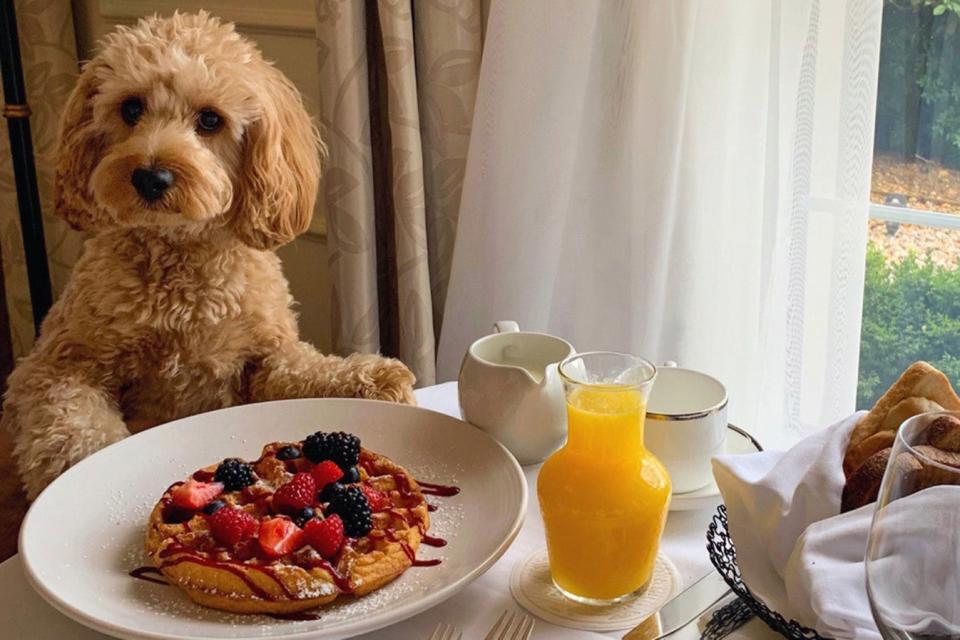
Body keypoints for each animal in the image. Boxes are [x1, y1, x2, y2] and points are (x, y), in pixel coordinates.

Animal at [3, 11, 416, 500]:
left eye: (209, 119)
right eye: (131, 108)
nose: (151, 177)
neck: (182, 259)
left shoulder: (265, 362)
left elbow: (307, 371)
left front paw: (374, 380)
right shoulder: (56, 366)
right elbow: (76, 427)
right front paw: (91, 468)